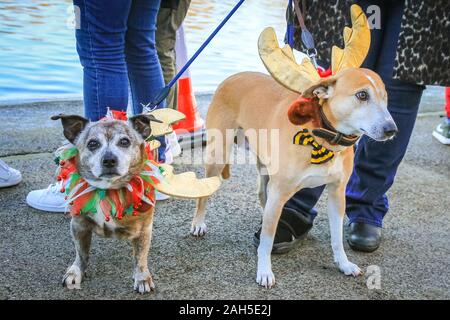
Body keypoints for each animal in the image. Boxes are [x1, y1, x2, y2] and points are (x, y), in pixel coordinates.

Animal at [51, 113, 161, 296]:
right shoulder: (79, 226)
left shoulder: (144, 230)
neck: (108, 191)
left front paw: (142, 277)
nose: (109, 160)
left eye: (124, 141)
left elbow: (140, 257)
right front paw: (76, 271)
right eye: (92, 143)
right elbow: (81, 252)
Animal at [190, 6, 398, 288]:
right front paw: (264, 271)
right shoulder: (280, 192)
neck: (323, 139)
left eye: (385, 97)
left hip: (263, 165)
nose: (391, 130)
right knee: (205, 193)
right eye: (362, 95)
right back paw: (198, 223)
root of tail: (232, 76)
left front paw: (343, 264)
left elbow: (336, 236)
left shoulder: (337, 194)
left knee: (262, 196)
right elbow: (267, 239)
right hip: (218, 155)